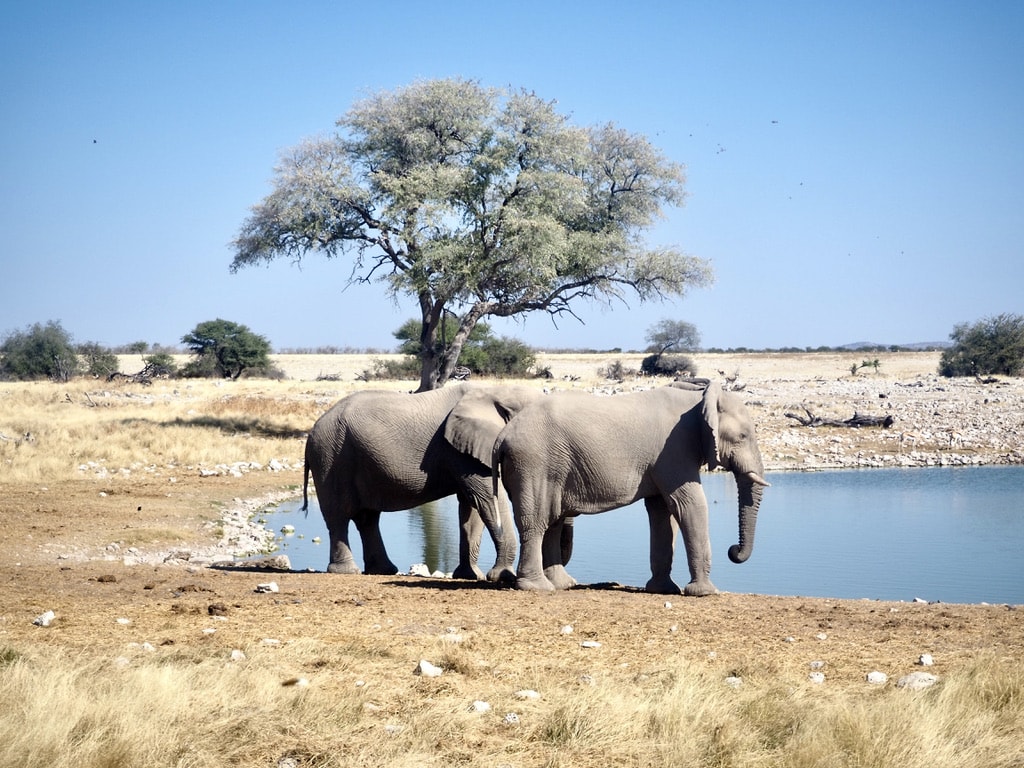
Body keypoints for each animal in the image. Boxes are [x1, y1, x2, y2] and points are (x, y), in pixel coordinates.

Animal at [301, 385, 544, 581]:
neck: (496, 391)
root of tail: (313, 429)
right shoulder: (462, 453)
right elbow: (486, 498)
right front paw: (502, 576)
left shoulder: (463, 449)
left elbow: (471, 508)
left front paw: (469, 576)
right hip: (331, 456)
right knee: (339, 515)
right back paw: (347, 571)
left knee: (367, 518)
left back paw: (383, 570)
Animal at [493, 385, 770, 593]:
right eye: (743, 436)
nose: (733, 551)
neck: (699, 400)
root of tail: (503, 434)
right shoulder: (674, 451)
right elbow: (688, 505)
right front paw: (704, 592)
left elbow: (661, 512)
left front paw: (663, 590)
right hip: (533, 462)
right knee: (537, 520)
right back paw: (537, 587)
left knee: (554, 520)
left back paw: (562, 584)